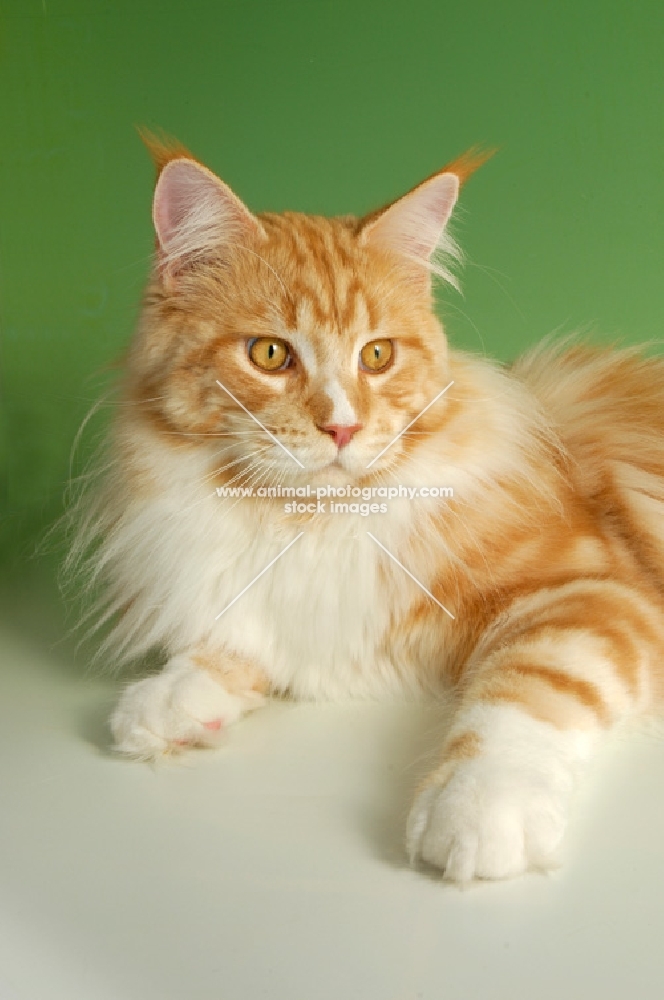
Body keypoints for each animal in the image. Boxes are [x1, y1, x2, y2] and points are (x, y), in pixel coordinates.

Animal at [68, 131, 664, 884]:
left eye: (377, 356)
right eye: (270, 354)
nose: (343, 428)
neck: (308, 523)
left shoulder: (592, 590)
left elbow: (524, 693)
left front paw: (480, 806)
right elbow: (244, 636)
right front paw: (178, 694)